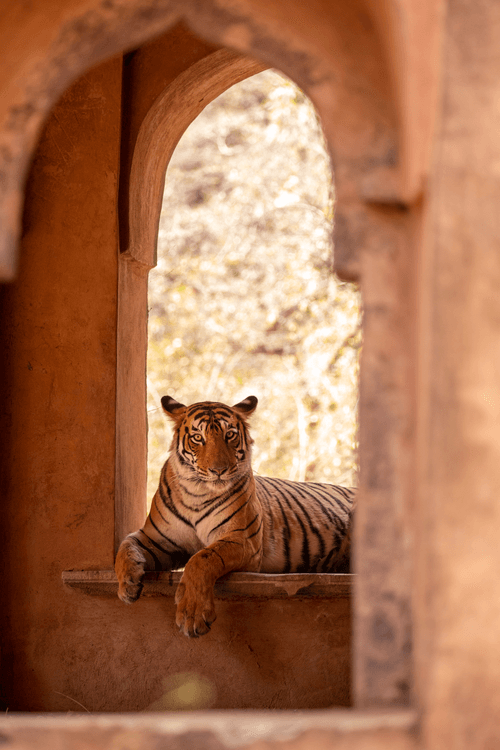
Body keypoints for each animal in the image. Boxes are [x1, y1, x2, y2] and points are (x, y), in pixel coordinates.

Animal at [115, 395, 355, 637]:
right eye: (197, 438)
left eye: (229, 435)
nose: (218, 470)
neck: (196, 493)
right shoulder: (157, 540)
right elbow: (125, 545)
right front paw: (127, 585)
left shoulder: (242, 539)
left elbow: (202, 558)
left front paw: (192, 615)